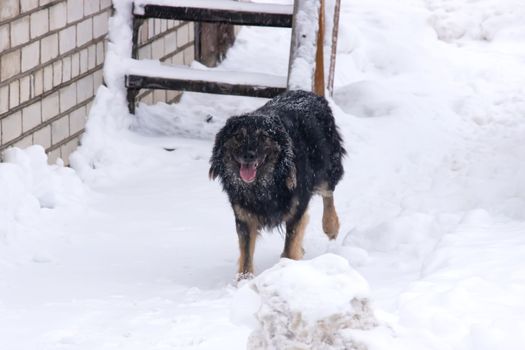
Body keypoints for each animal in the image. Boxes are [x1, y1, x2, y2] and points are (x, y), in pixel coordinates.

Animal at [209, 89, 344, 278]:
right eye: (238, 136)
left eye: (264, 137)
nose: (248, 155)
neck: (265, 184)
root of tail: (308, 93)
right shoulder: (244, 217)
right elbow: (246, 258)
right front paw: (244, 282)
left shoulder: (296, 210)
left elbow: (289, 248)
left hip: (328, 165)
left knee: (328, 193)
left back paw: (331, 226)